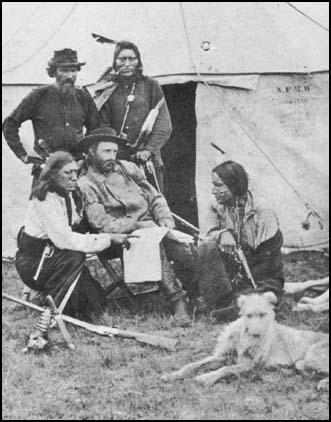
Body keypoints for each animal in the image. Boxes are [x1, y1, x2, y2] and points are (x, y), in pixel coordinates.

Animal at [161, 292, 330, 390]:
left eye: (263, 314)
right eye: (248, 315)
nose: (256, 334)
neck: (243, 335)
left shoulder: (249, 364)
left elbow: (226, 369)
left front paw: (206, 377)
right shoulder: (221, 356)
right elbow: (192, 364)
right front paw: (172, 375)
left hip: (311, 358)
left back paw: (322, 383)